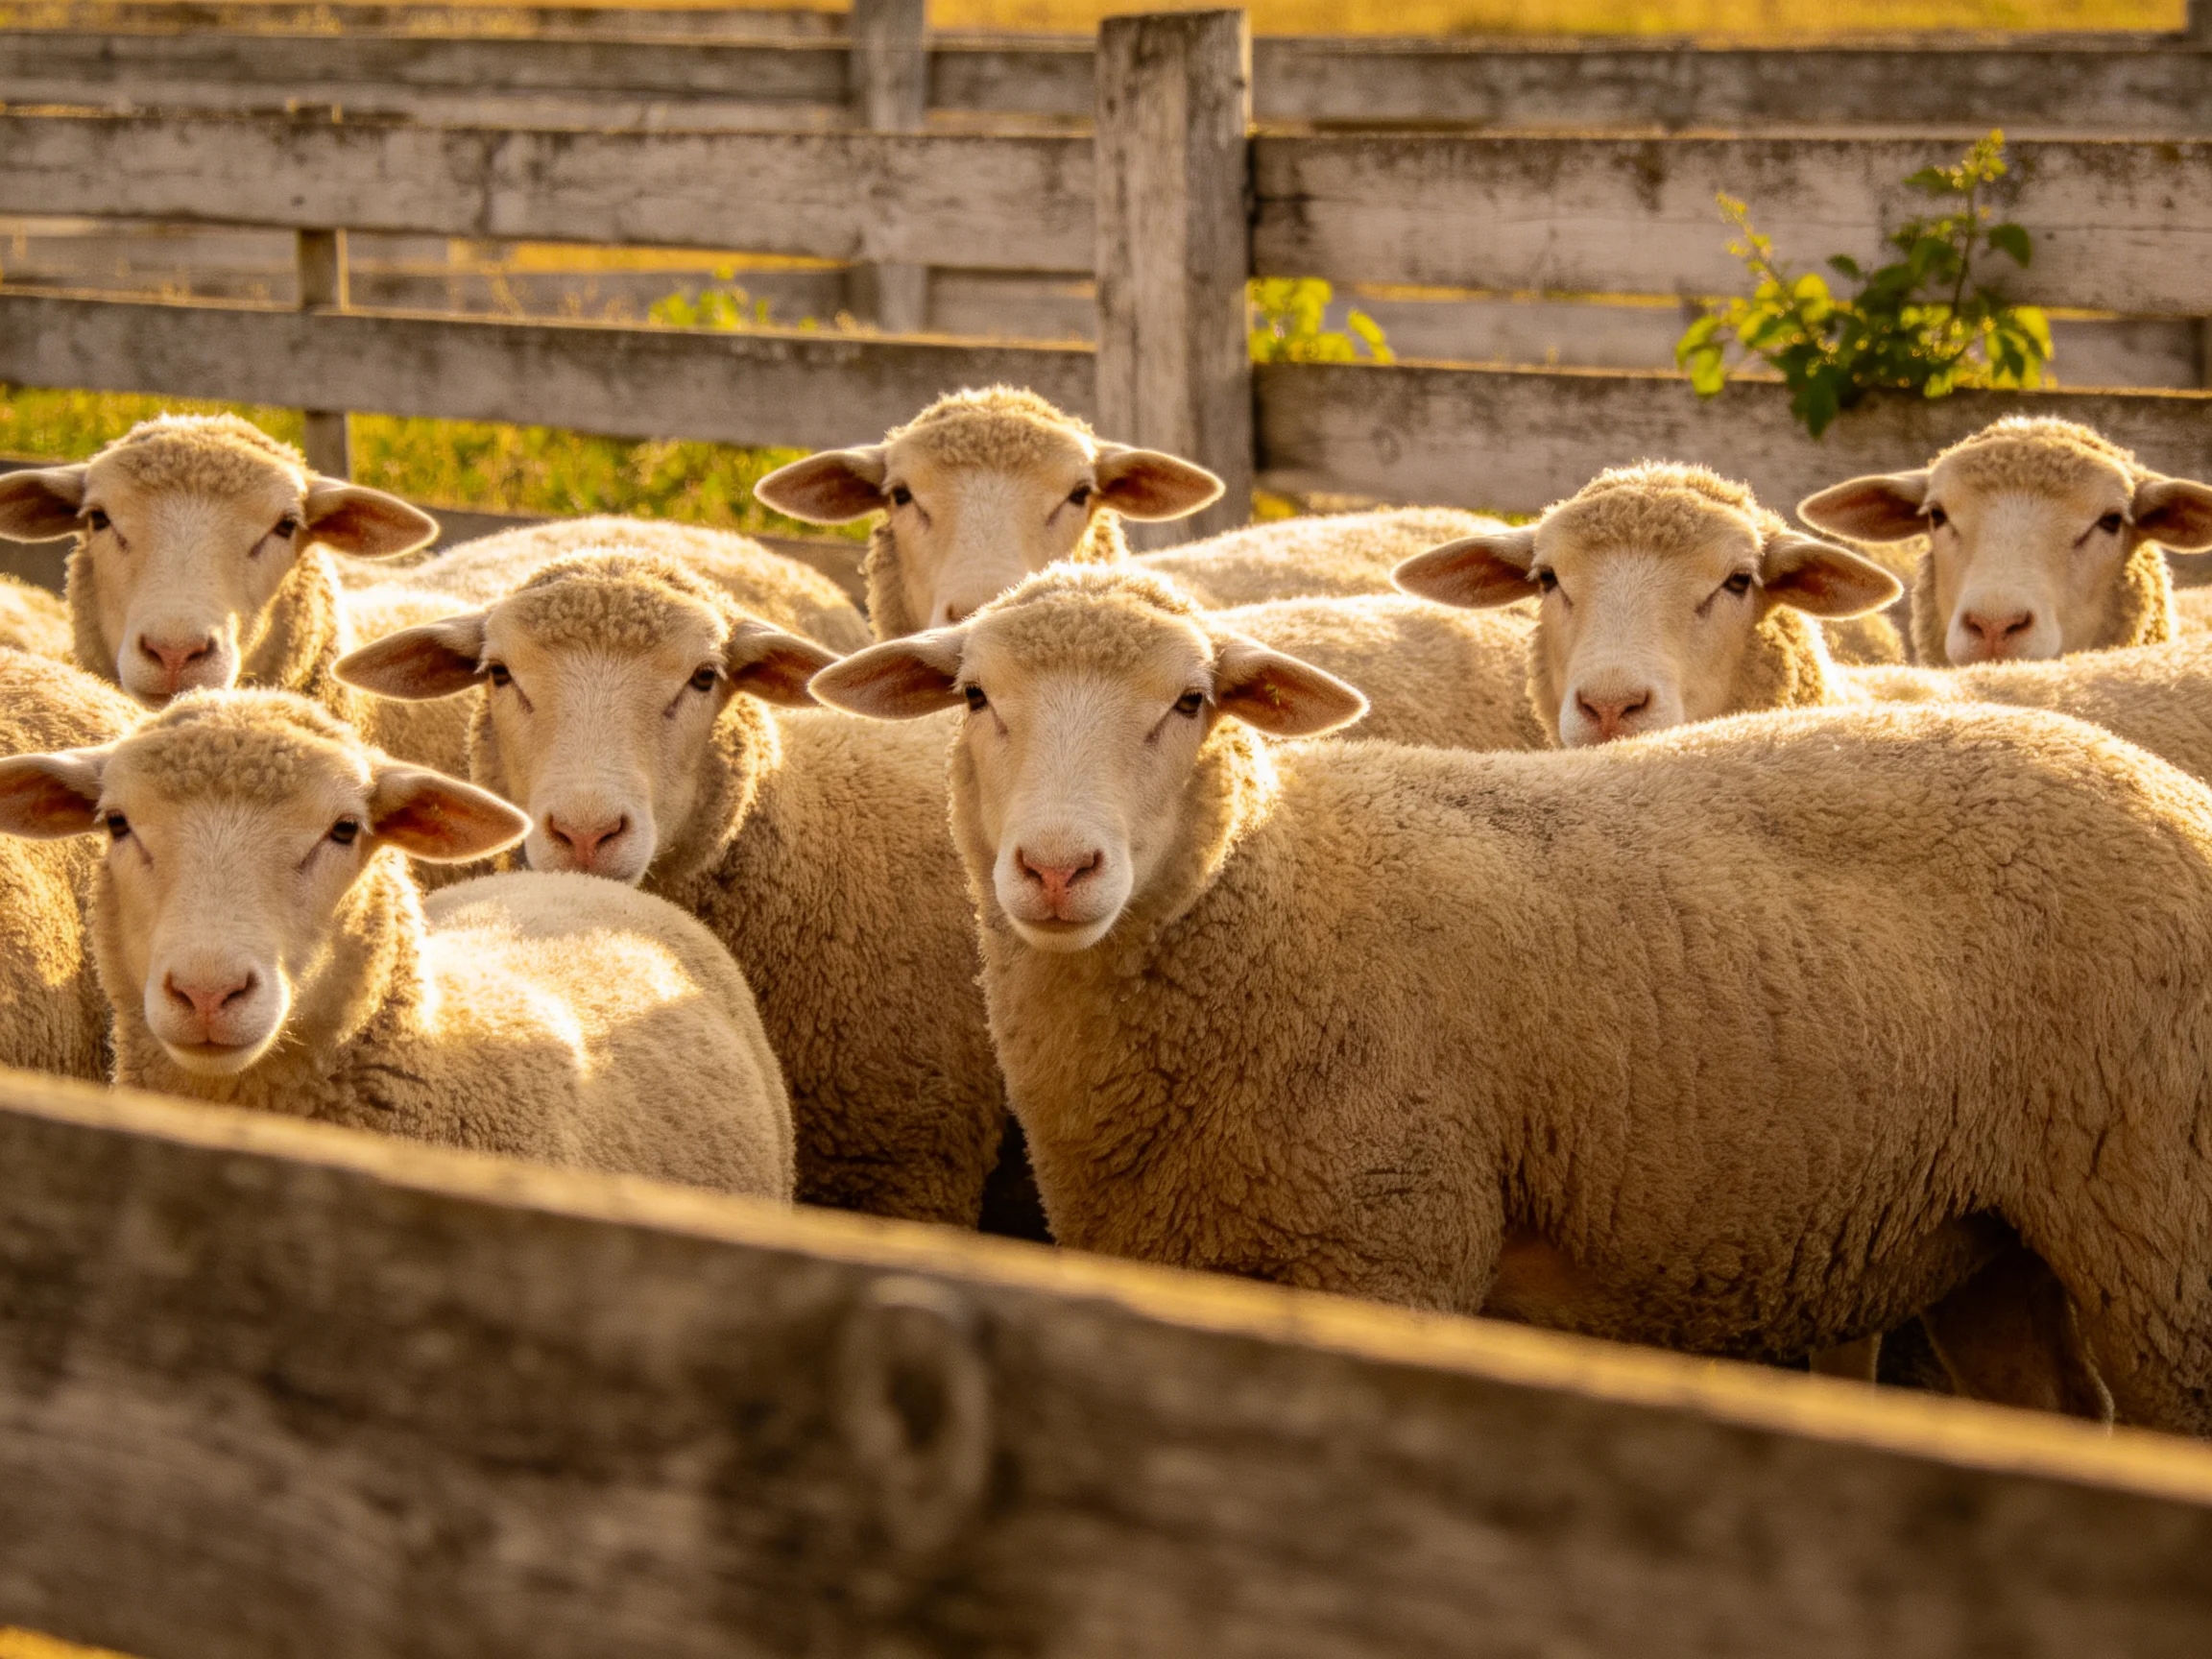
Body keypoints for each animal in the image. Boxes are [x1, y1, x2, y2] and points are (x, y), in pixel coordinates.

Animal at [811, 563, 2212, 1435]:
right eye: (975, 697)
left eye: (1192, 702)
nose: (1057, 868)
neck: (1271, 895)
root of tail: (2157, 783)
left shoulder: (1393, 1252)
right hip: (1994, 1232)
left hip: (2165, 1224)